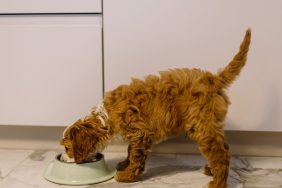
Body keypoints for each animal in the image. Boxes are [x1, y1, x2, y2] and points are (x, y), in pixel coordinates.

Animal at [61, 29, 251, 188]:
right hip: (212, 122)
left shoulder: (141, 132)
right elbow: (130, 151)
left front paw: (127, 175)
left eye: (67, 148)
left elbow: (136, 156)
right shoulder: (137, 133)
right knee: (223, 148)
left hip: (201, 124)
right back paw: (211, 170)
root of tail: (213, 79)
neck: (106, 116)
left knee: (220, 153)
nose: (62, 157)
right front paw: (124, 164)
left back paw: (217, 183)